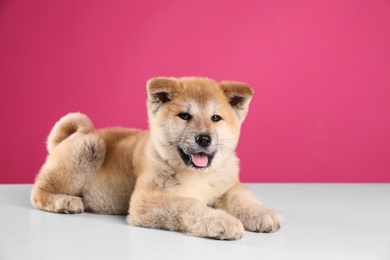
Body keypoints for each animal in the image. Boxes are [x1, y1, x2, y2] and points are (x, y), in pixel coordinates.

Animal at [29, 76, 280, 240]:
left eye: (216, 118)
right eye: (185, 116)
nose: (204, 139)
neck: (196, 175)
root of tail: (69, 138)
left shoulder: (229, 186)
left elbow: (244, 200)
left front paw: (263, 215)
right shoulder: (146, 199)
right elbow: (189, 204)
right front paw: (222, 221)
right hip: (89, 147)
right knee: (38, 192)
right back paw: (65, 201)